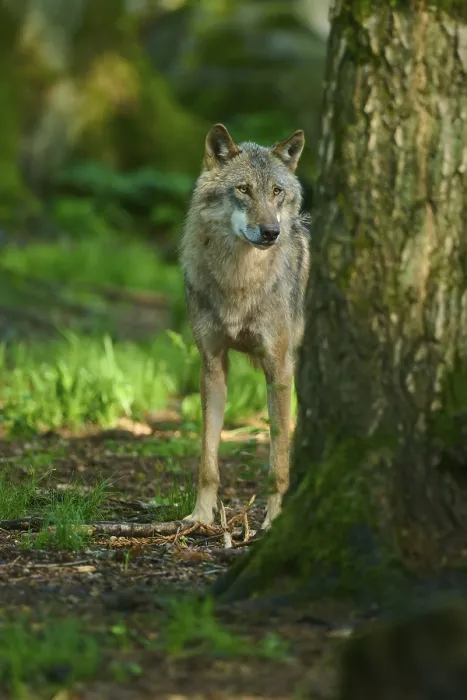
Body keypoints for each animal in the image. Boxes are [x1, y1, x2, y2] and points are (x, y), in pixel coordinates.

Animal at [180, 123, 310, 530]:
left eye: (276, 191)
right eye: (243, 189)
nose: (270, 232)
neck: (240, 282)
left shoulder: (279, 369)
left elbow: (277, 460)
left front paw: (274, 519)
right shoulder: (212, 364)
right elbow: (207, 457)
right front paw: (201, 515)